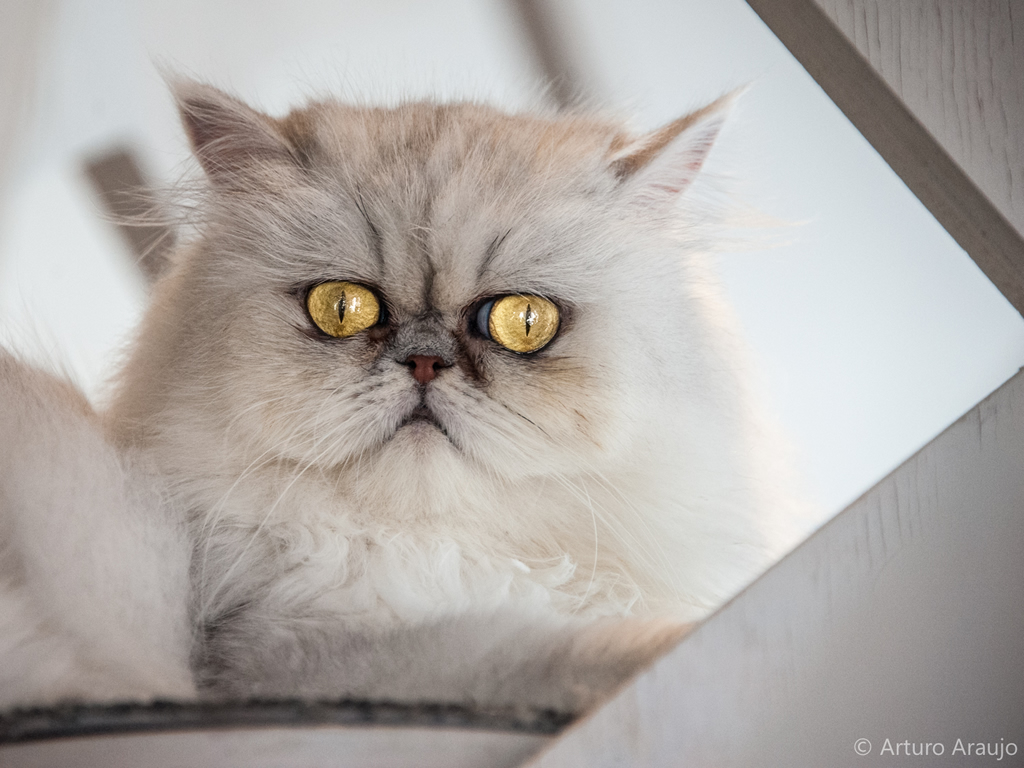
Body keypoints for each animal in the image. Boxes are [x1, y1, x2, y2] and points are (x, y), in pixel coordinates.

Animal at [0, 79, 805, 714]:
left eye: (524, 322)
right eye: (341, 308)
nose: (423, 363)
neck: (423, 556)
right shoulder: (302, 665)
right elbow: (545, 652)